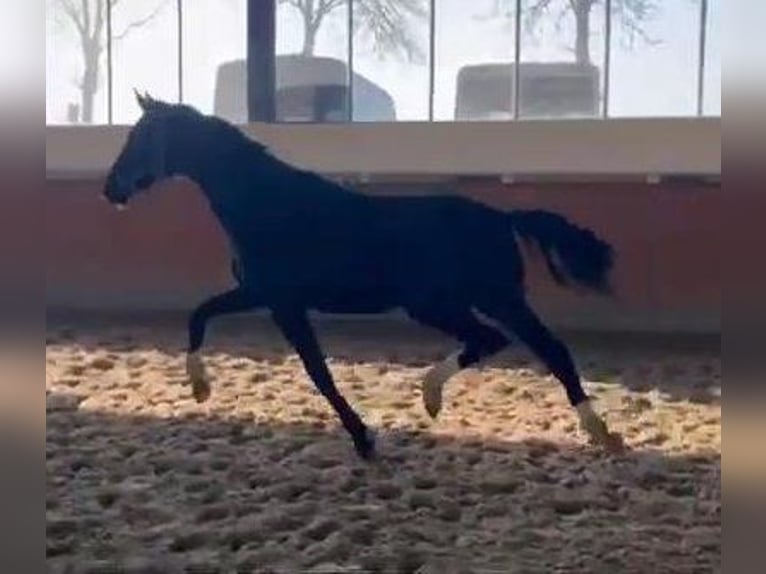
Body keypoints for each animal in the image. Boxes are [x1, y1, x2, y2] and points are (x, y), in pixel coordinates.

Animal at [103, 93, 632, 464]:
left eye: (140, 139)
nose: (111, 189)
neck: (268, 203)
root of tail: (502, 218)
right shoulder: (263, 296)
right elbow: (201, 315)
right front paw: (200, 388)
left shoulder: (279, 300)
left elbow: (316, 371)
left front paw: (363, 439)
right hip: (470, 301)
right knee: (518, 345)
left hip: (467, 301)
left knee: (523, 345)